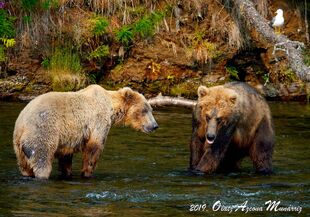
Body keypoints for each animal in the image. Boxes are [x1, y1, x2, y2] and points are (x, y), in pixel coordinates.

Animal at [12, 85, 157, 180]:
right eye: (144, 110)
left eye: (151, 109)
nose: (155, 126)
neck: (111, 107)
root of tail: (22, 124)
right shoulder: (99, 121)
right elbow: (94, 147)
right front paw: (87, 172)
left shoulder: (67, 137)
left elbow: (66, 156)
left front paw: (67, 173)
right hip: (42, 132)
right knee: (42, 158)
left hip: (19, 148)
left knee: (25, 167)